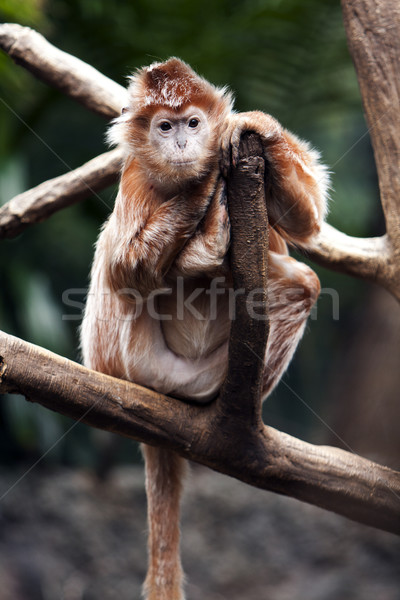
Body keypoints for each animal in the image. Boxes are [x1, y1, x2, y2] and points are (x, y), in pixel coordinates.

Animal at [79, 57, 330, 600]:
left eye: (193, 123)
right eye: (164, 126)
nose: (181, 144)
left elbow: (306, 222)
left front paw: (255, 125)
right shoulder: (134, 177)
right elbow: (125, 268)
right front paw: (202, 187)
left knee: (301, 280)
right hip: (130, 360)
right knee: (115, 261)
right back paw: (211, 239)